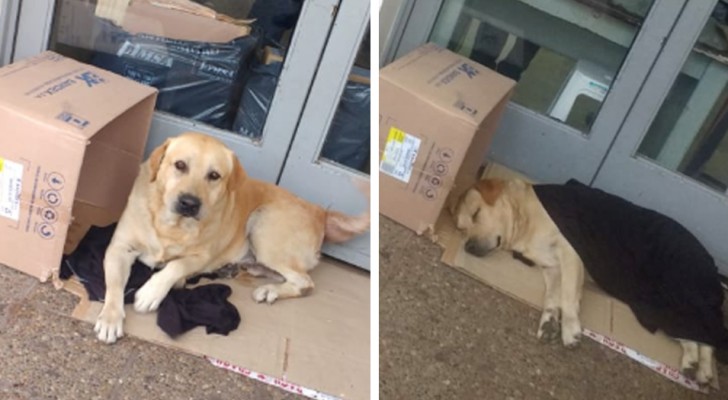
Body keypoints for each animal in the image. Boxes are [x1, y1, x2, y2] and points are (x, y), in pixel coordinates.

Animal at [95, 132, 370, 344]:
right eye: (180, 165)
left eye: (214, 176)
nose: (189, 203)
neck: (171, 225)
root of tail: (320, 212)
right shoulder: (118, 248)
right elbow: (114, 286)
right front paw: (110, 317)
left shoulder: (201, 256)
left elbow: (176, 266)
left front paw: (152, 292)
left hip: (263, 225)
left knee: (305, 282)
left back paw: (269, 290)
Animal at [452, 178, 728, 384]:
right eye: (461, 229)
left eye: (476, 214)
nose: (467, 247)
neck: (525, 223)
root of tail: (713, 267)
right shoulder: (552, 268)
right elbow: (552, 296)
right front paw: (549, 320)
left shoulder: (570, 252)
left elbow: (567, 296)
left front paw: (570, 329)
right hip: (661, 306)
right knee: (697, 336)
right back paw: (695, 364)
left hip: (673, 294)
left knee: (707, 335)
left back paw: (701, 367)